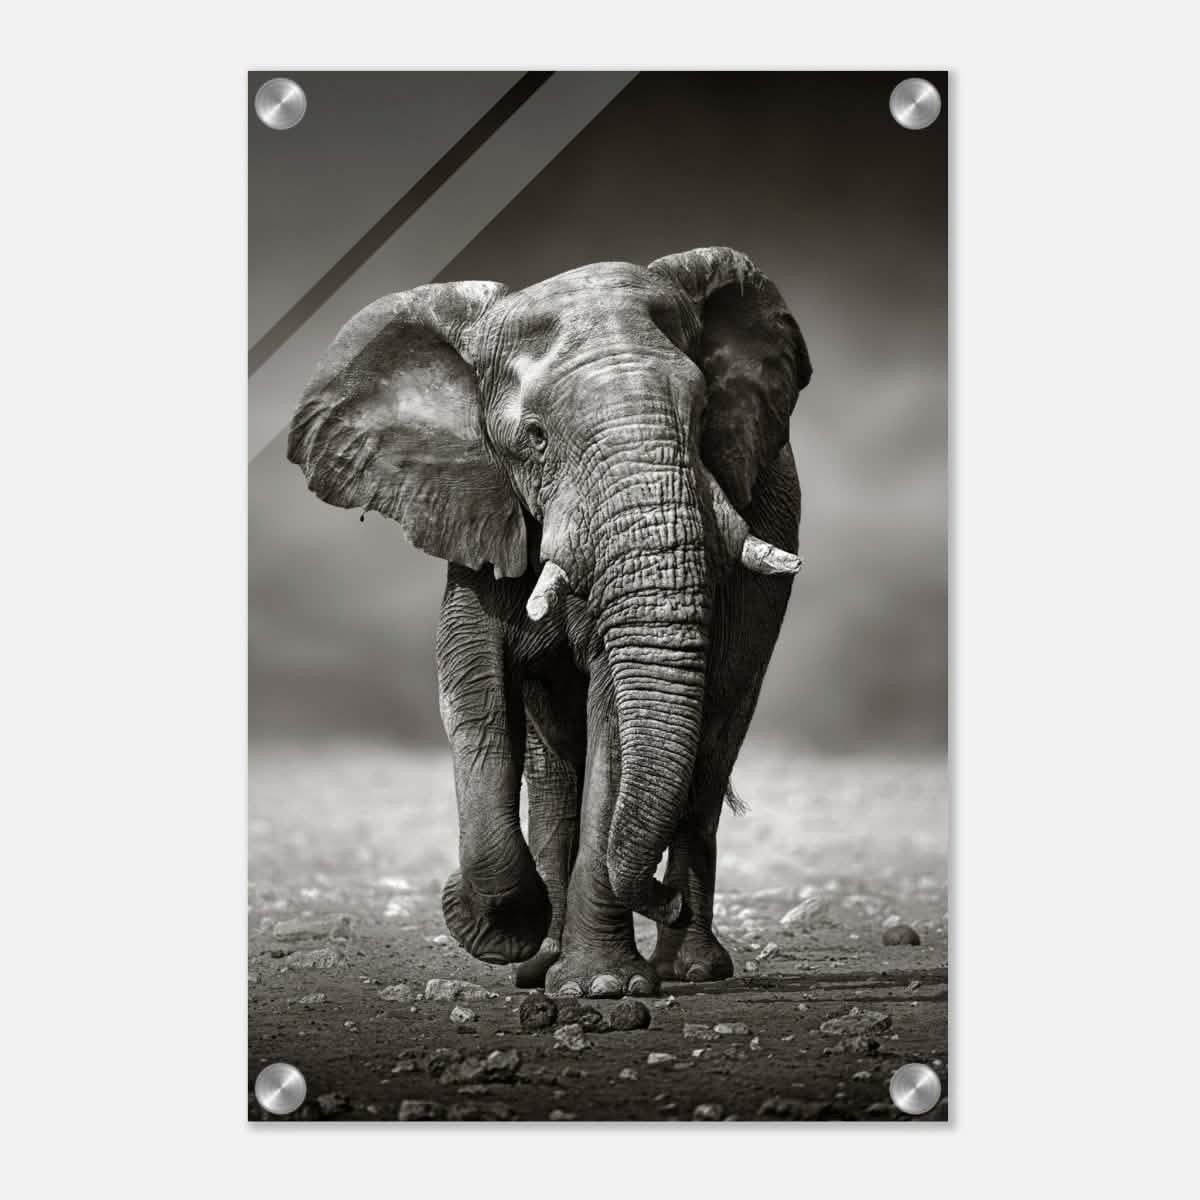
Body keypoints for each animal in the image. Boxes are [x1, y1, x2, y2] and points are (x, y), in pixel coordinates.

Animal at [287, 247, 811, 998]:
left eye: (703, 411)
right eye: (533, 439)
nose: (661, 899)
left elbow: (613, 714)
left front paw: (602, 987)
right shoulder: (477, 507)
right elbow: (472, 692)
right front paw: (500, 929)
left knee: (710, 749)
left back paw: (688, 968)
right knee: (554, 767)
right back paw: (542, 964)